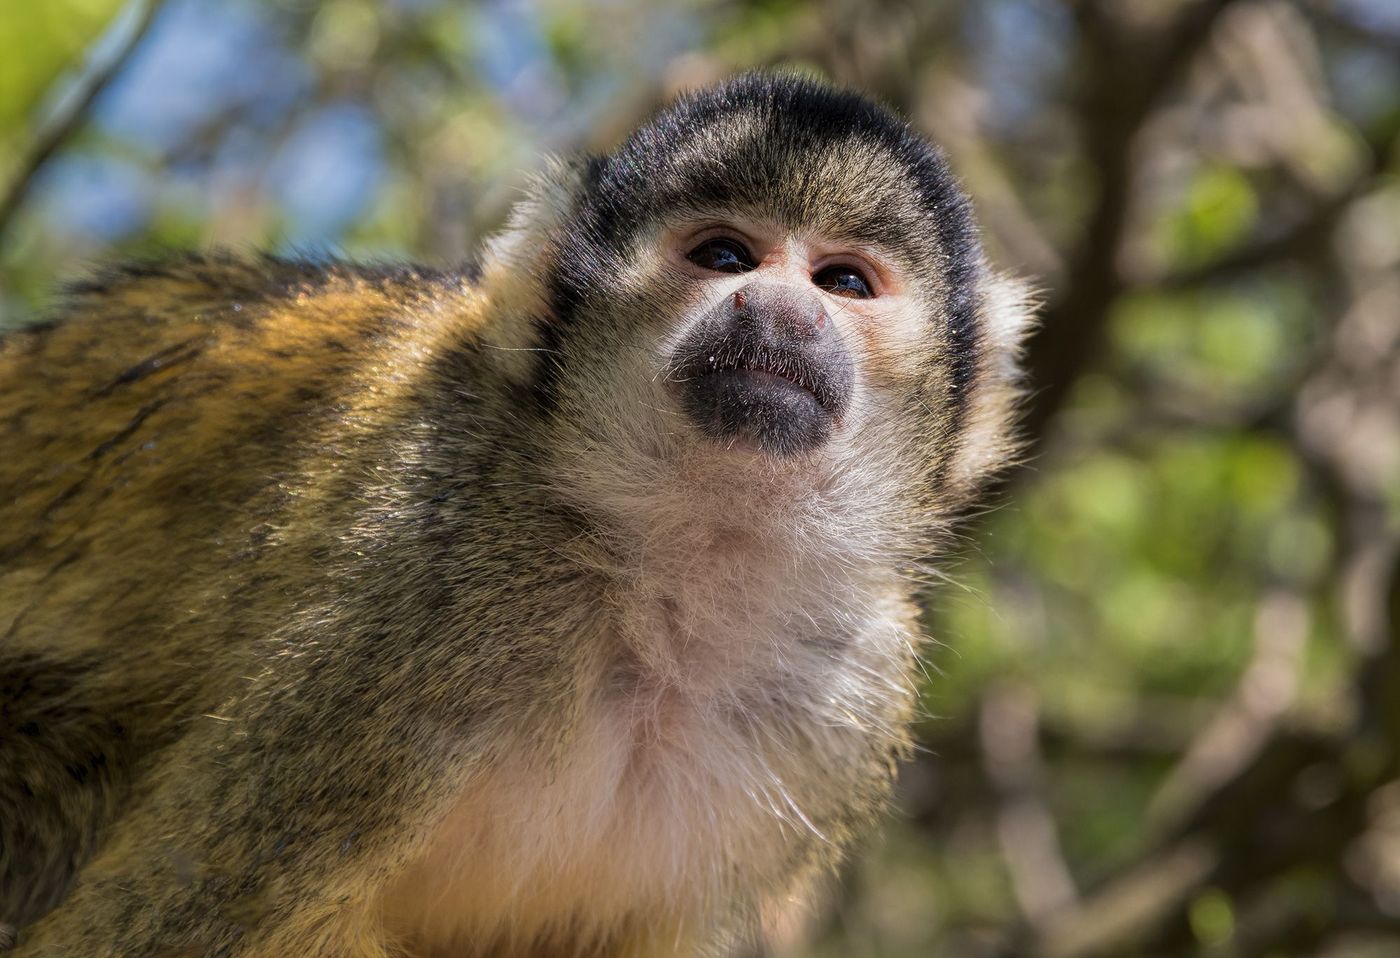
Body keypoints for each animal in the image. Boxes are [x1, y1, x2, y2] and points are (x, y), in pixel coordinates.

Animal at [0, 72, 1031, 957]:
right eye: (724, 256)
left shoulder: (852, 698)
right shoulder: (419, 591)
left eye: (843, 282)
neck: (670, 582)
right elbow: (163, 926)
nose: (779, 309)